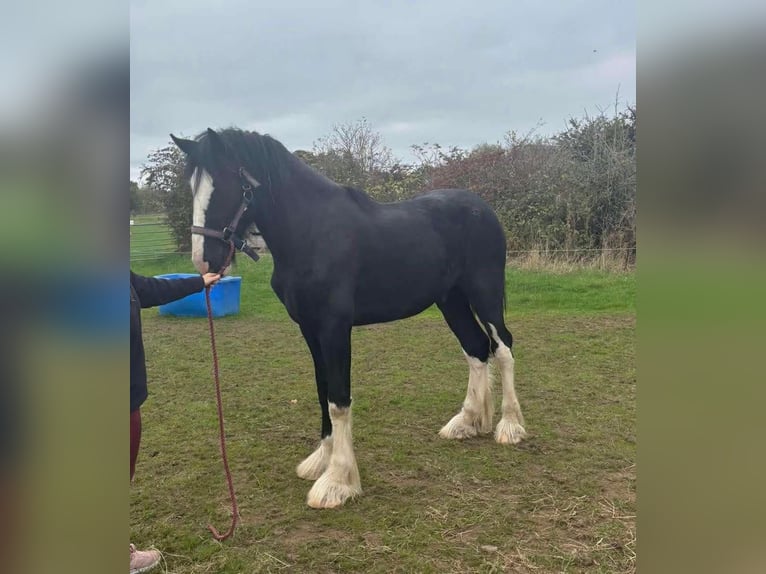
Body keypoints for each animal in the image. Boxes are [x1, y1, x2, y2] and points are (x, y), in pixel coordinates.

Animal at [170, 128, 527, 509]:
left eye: (223, 184)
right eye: (192, 186)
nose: (204, 260)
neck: (312, 233)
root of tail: (481, 208)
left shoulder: (334, 328)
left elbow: (338, 399)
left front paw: (338, 482)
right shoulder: (310, 330)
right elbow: (322, 390)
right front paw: (321, 461)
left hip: (484, 293)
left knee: (502, 348)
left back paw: (510, 427)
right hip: (452, 301)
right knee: (475, 348)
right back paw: (467, 423)